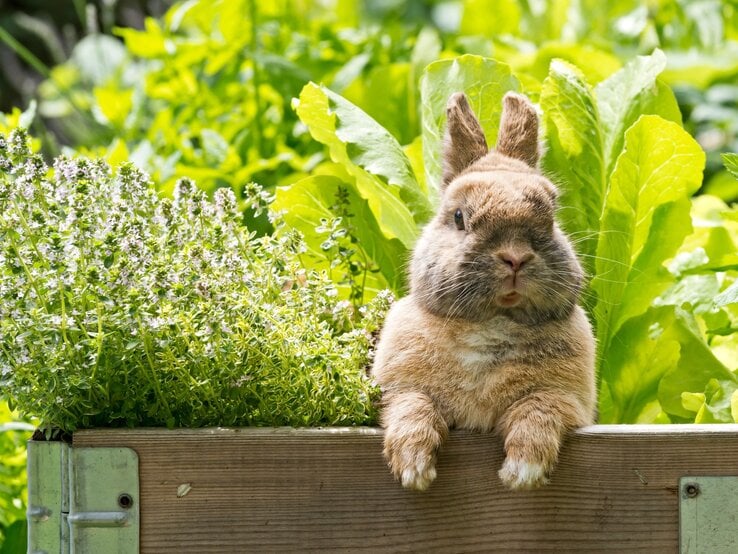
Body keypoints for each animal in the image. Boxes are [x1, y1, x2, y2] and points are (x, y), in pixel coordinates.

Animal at [371, 91, 596, 491]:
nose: (515, 257)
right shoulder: (399, 388)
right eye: (459, 217)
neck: (492, 323)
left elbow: (538, 413)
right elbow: (412, 407)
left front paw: (521, 472)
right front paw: (414, 470)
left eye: (552, 213)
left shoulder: (565, 398)